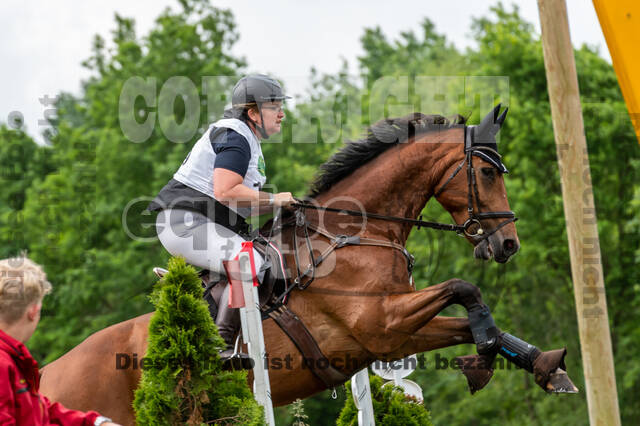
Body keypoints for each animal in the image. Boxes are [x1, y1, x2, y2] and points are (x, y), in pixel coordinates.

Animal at [40, 106, 576, 425]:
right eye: (486, 172)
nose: (508, 244)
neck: (352, 232)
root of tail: (49, 375)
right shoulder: (381, 323)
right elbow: (465, 288)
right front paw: (485, 357)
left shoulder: (392, 334)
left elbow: (475, 325)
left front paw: (542, 366)